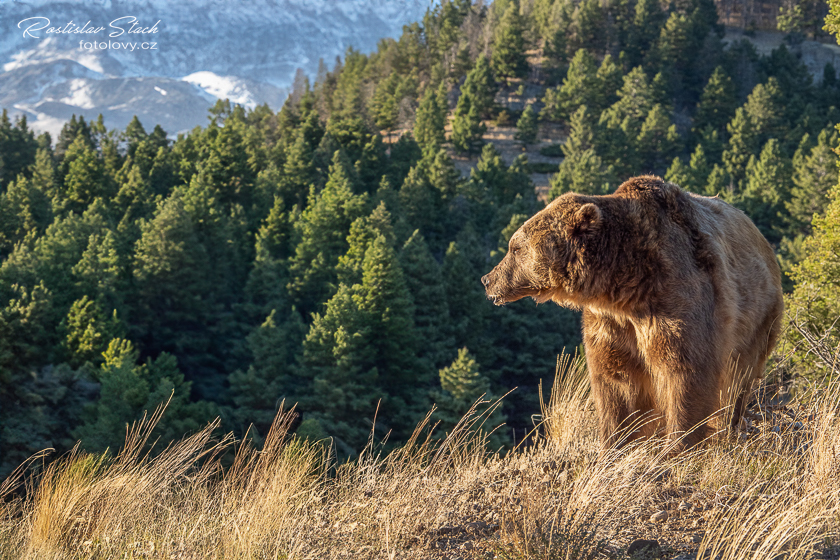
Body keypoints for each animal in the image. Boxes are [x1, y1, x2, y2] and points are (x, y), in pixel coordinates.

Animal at [482, 176, 784, 450]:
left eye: (515, 247)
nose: (487, 280)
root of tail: (761, 238)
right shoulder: (612, 324)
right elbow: (616, 385)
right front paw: (614, 445)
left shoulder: (679, 305)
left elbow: (686, 375)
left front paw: (678, 446)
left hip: (757, 322)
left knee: (738, 383)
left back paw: (730, 428)